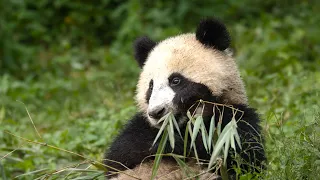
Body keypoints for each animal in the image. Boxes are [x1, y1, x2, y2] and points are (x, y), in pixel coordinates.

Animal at [104, 17, 266, 179]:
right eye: (151, 87)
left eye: (176, 80)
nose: (157, 112)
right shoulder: (141, 127)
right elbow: (120, 155)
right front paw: (170, 143)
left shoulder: (234, 120)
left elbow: (241, 158)